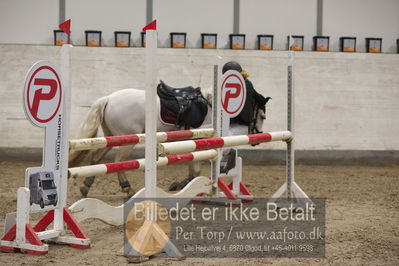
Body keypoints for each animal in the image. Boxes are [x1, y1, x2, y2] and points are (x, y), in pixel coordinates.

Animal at [70, 85, 270, 197]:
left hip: (112, 137)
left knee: (97, 158)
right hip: (128, 139)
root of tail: (109, 98)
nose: (256, 140)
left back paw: (86, 187)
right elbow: (196, 169)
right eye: (262, 115)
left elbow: (194, 168)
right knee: (119, 162)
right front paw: (182, 185)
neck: (211, 105)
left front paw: (181, 184)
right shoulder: (200, 138)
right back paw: (127, 190)